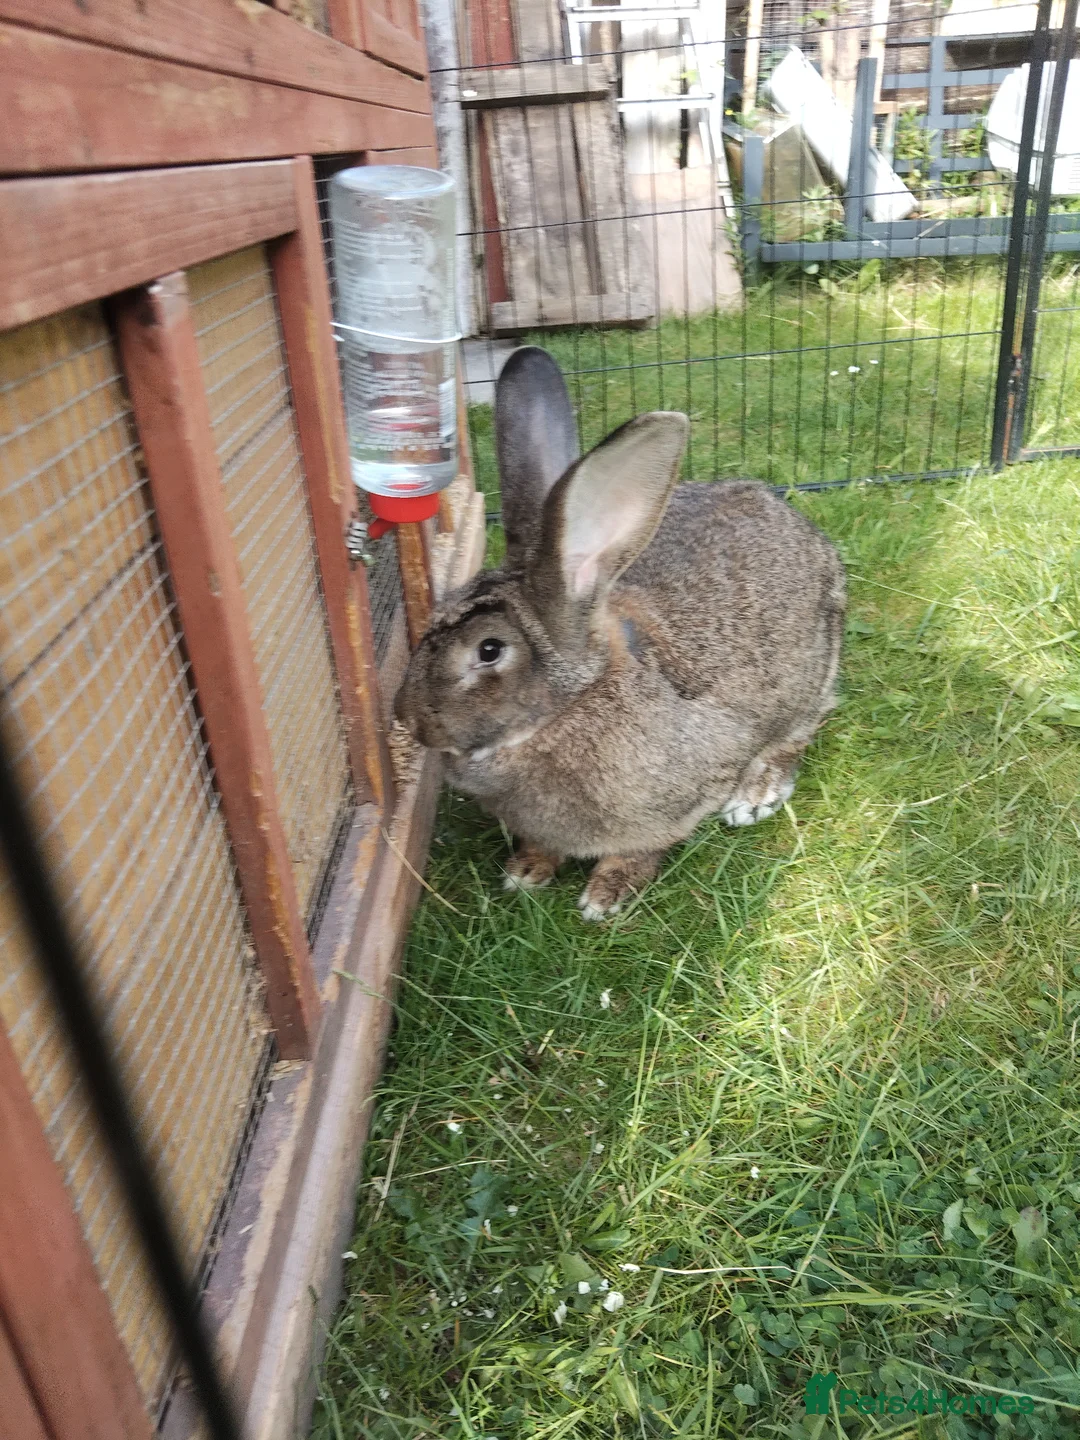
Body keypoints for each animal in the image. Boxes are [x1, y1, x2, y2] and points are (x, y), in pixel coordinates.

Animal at [394, 346, 846, 920]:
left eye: (489, 650)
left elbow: (642, 847)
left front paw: (606, 896)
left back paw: (756, 795)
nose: (407, 719)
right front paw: (526, 871)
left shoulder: (685, 792)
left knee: (800, 730)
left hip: (809, 679)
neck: (573, 705)